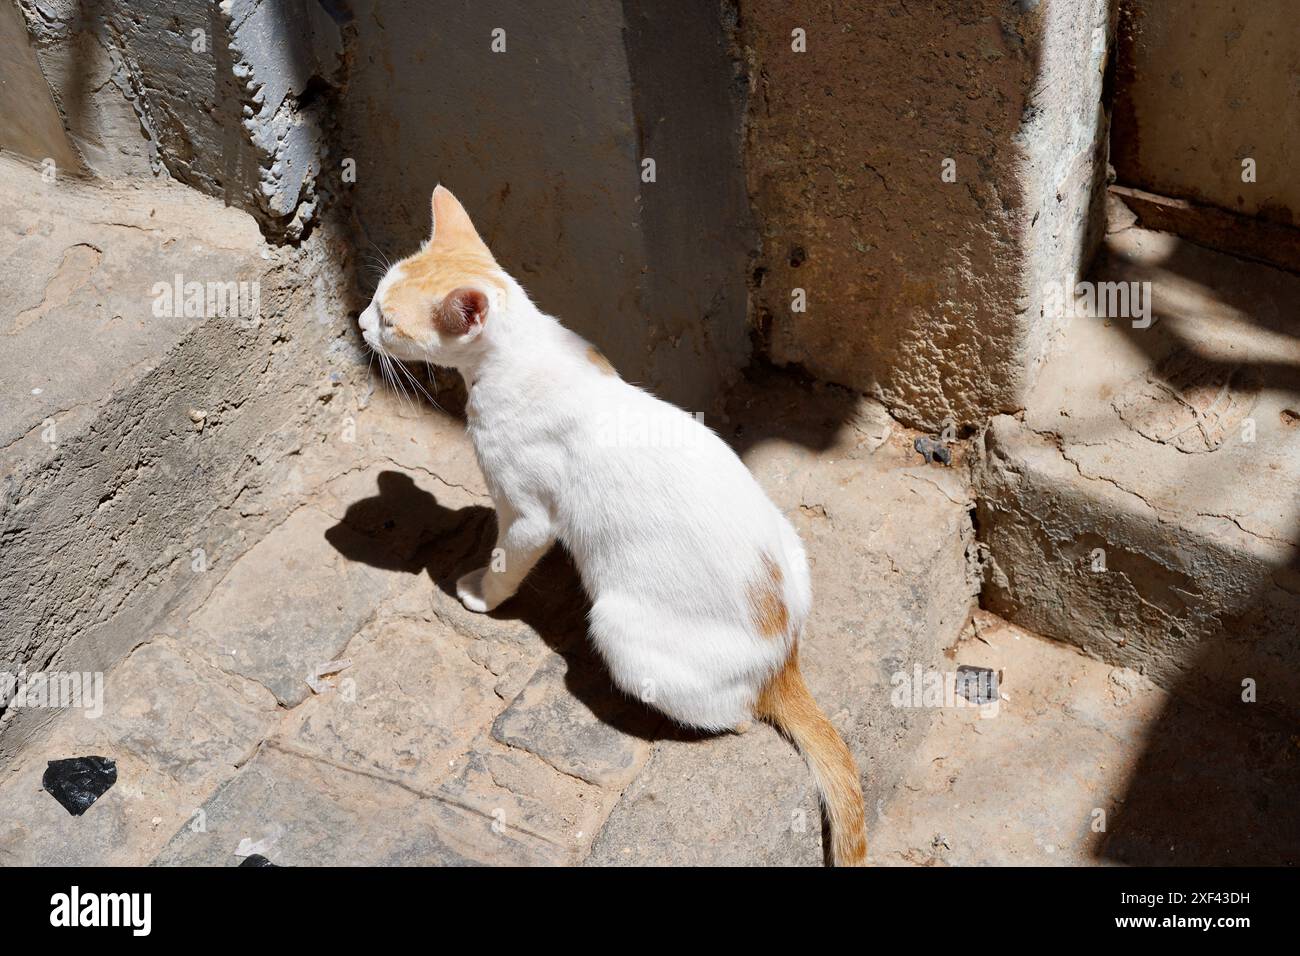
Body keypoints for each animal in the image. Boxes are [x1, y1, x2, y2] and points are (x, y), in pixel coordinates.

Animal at [361, 187, 868, 868]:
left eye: (391, 321)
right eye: (373, 298)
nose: (361, 324)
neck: (520, 354)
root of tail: (783, 655)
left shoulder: (528, 514)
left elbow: (505, 562)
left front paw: (477, 593)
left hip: (616, 626)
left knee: (736, 718)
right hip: (791, 544)